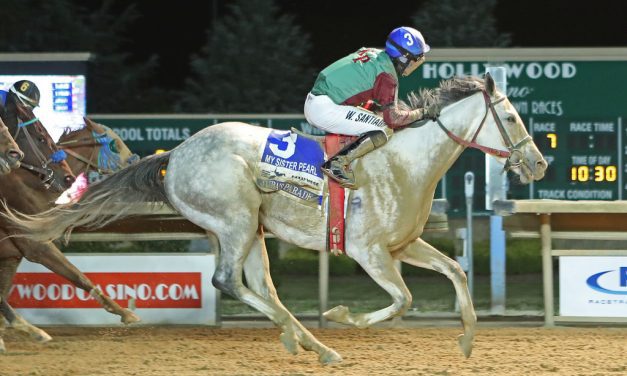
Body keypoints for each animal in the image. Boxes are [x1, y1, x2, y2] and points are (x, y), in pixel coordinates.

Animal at [0, 114, 139, 352]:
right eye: (114, 144)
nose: (137, 162)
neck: (32, 185)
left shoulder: (12, 255)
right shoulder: (36, 246)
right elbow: (78, 276)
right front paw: (125, 313)